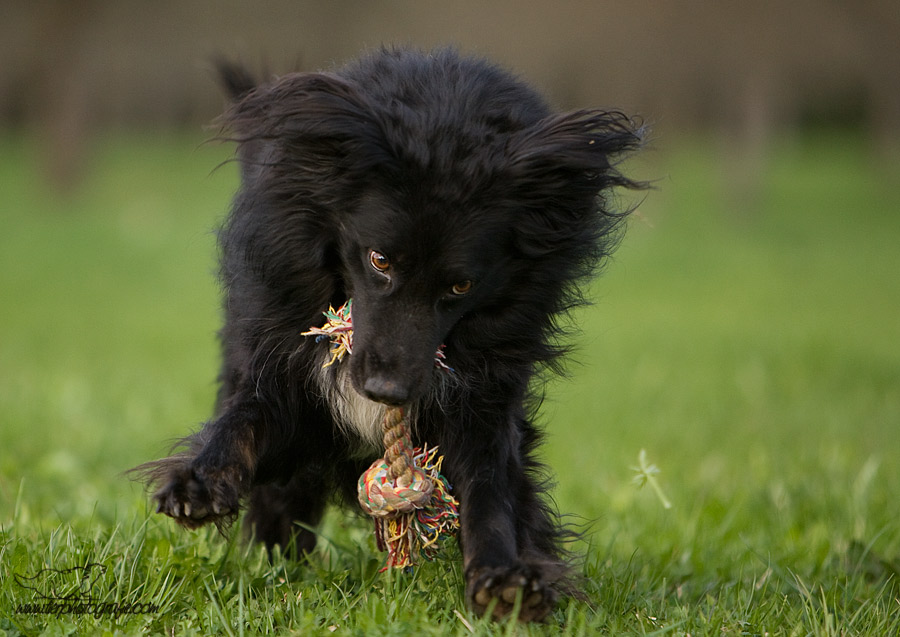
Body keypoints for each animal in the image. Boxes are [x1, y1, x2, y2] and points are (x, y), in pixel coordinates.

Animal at [137, 46, 644, 620]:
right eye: (379, 259)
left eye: (461, 285)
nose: (386, 392)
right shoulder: (288, 372)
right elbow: (246, 420)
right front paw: (199, 483)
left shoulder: (485, 394)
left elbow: (490, 485)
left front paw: (506, 579)